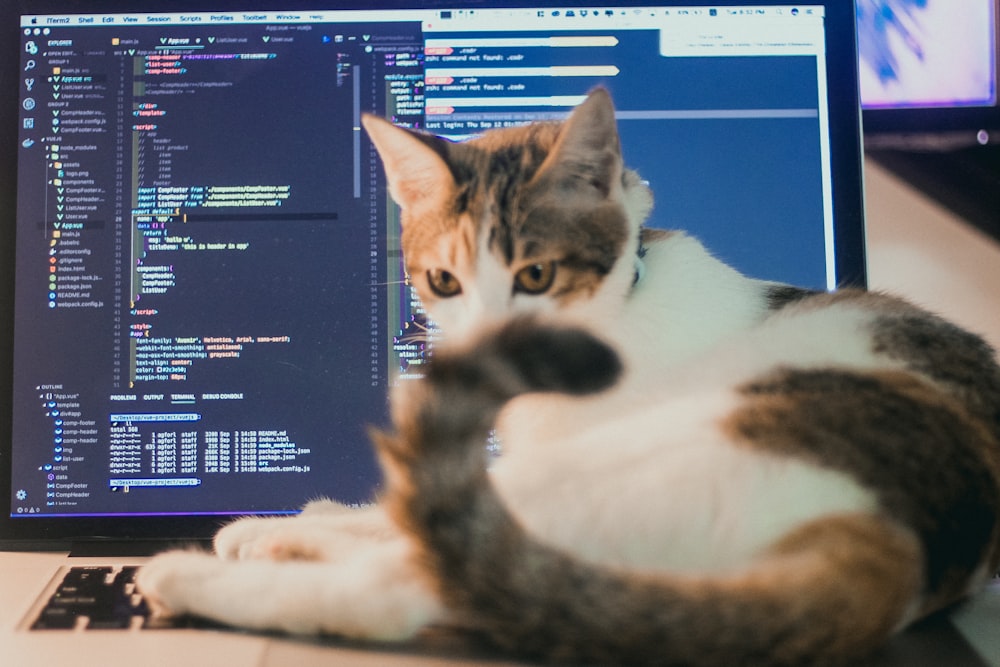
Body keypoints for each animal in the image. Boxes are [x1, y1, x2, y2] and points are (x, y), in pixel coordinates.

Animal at [137, 90, 1000, 667]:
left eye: (536, 274)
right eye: (444, 280)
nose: (488, 337)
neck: (620, 305)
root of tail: (895, 548)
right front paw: (300, 517)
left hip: (650, 452)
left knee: (407, 581)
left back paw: (194, 571)